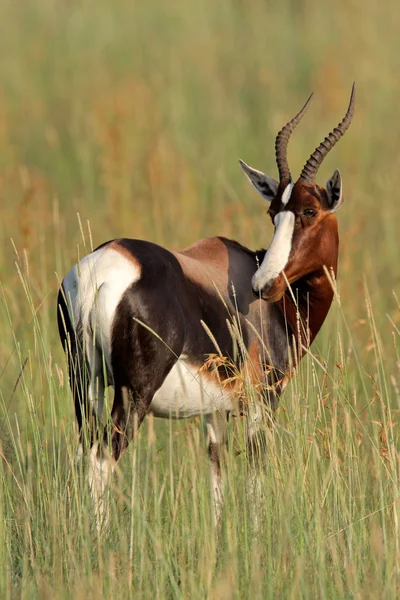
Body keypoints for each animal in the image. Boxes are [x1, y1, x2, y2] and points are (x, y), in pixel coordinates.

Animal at [57, 85, 354, 524]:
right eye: (273, 212)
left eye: (308, 210)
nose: (264, 285)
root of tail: (101, 272)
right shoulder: (261, 403)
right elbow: (254, 479)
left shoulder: (214, 412)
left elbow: (217, 478)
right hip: (132, 396)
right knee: (101, 459)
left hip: (84, 382)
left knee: (83, 452)